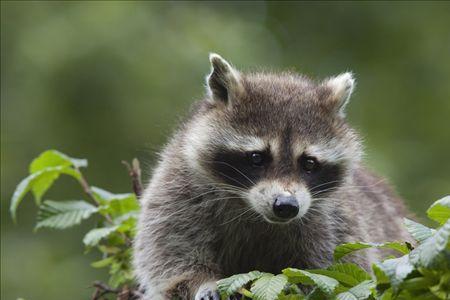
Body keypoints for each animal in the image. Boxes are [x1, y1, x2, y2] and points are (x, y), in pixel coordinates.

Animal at [132, 54, 410, 300]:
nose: (286, 206)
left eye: (309, 163)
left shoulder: (334, 220)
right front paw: (203, 282)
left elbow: (336, 266)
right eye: (257, 158)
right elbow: (171, 254)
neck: (253, 210)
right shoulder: (179, 189)